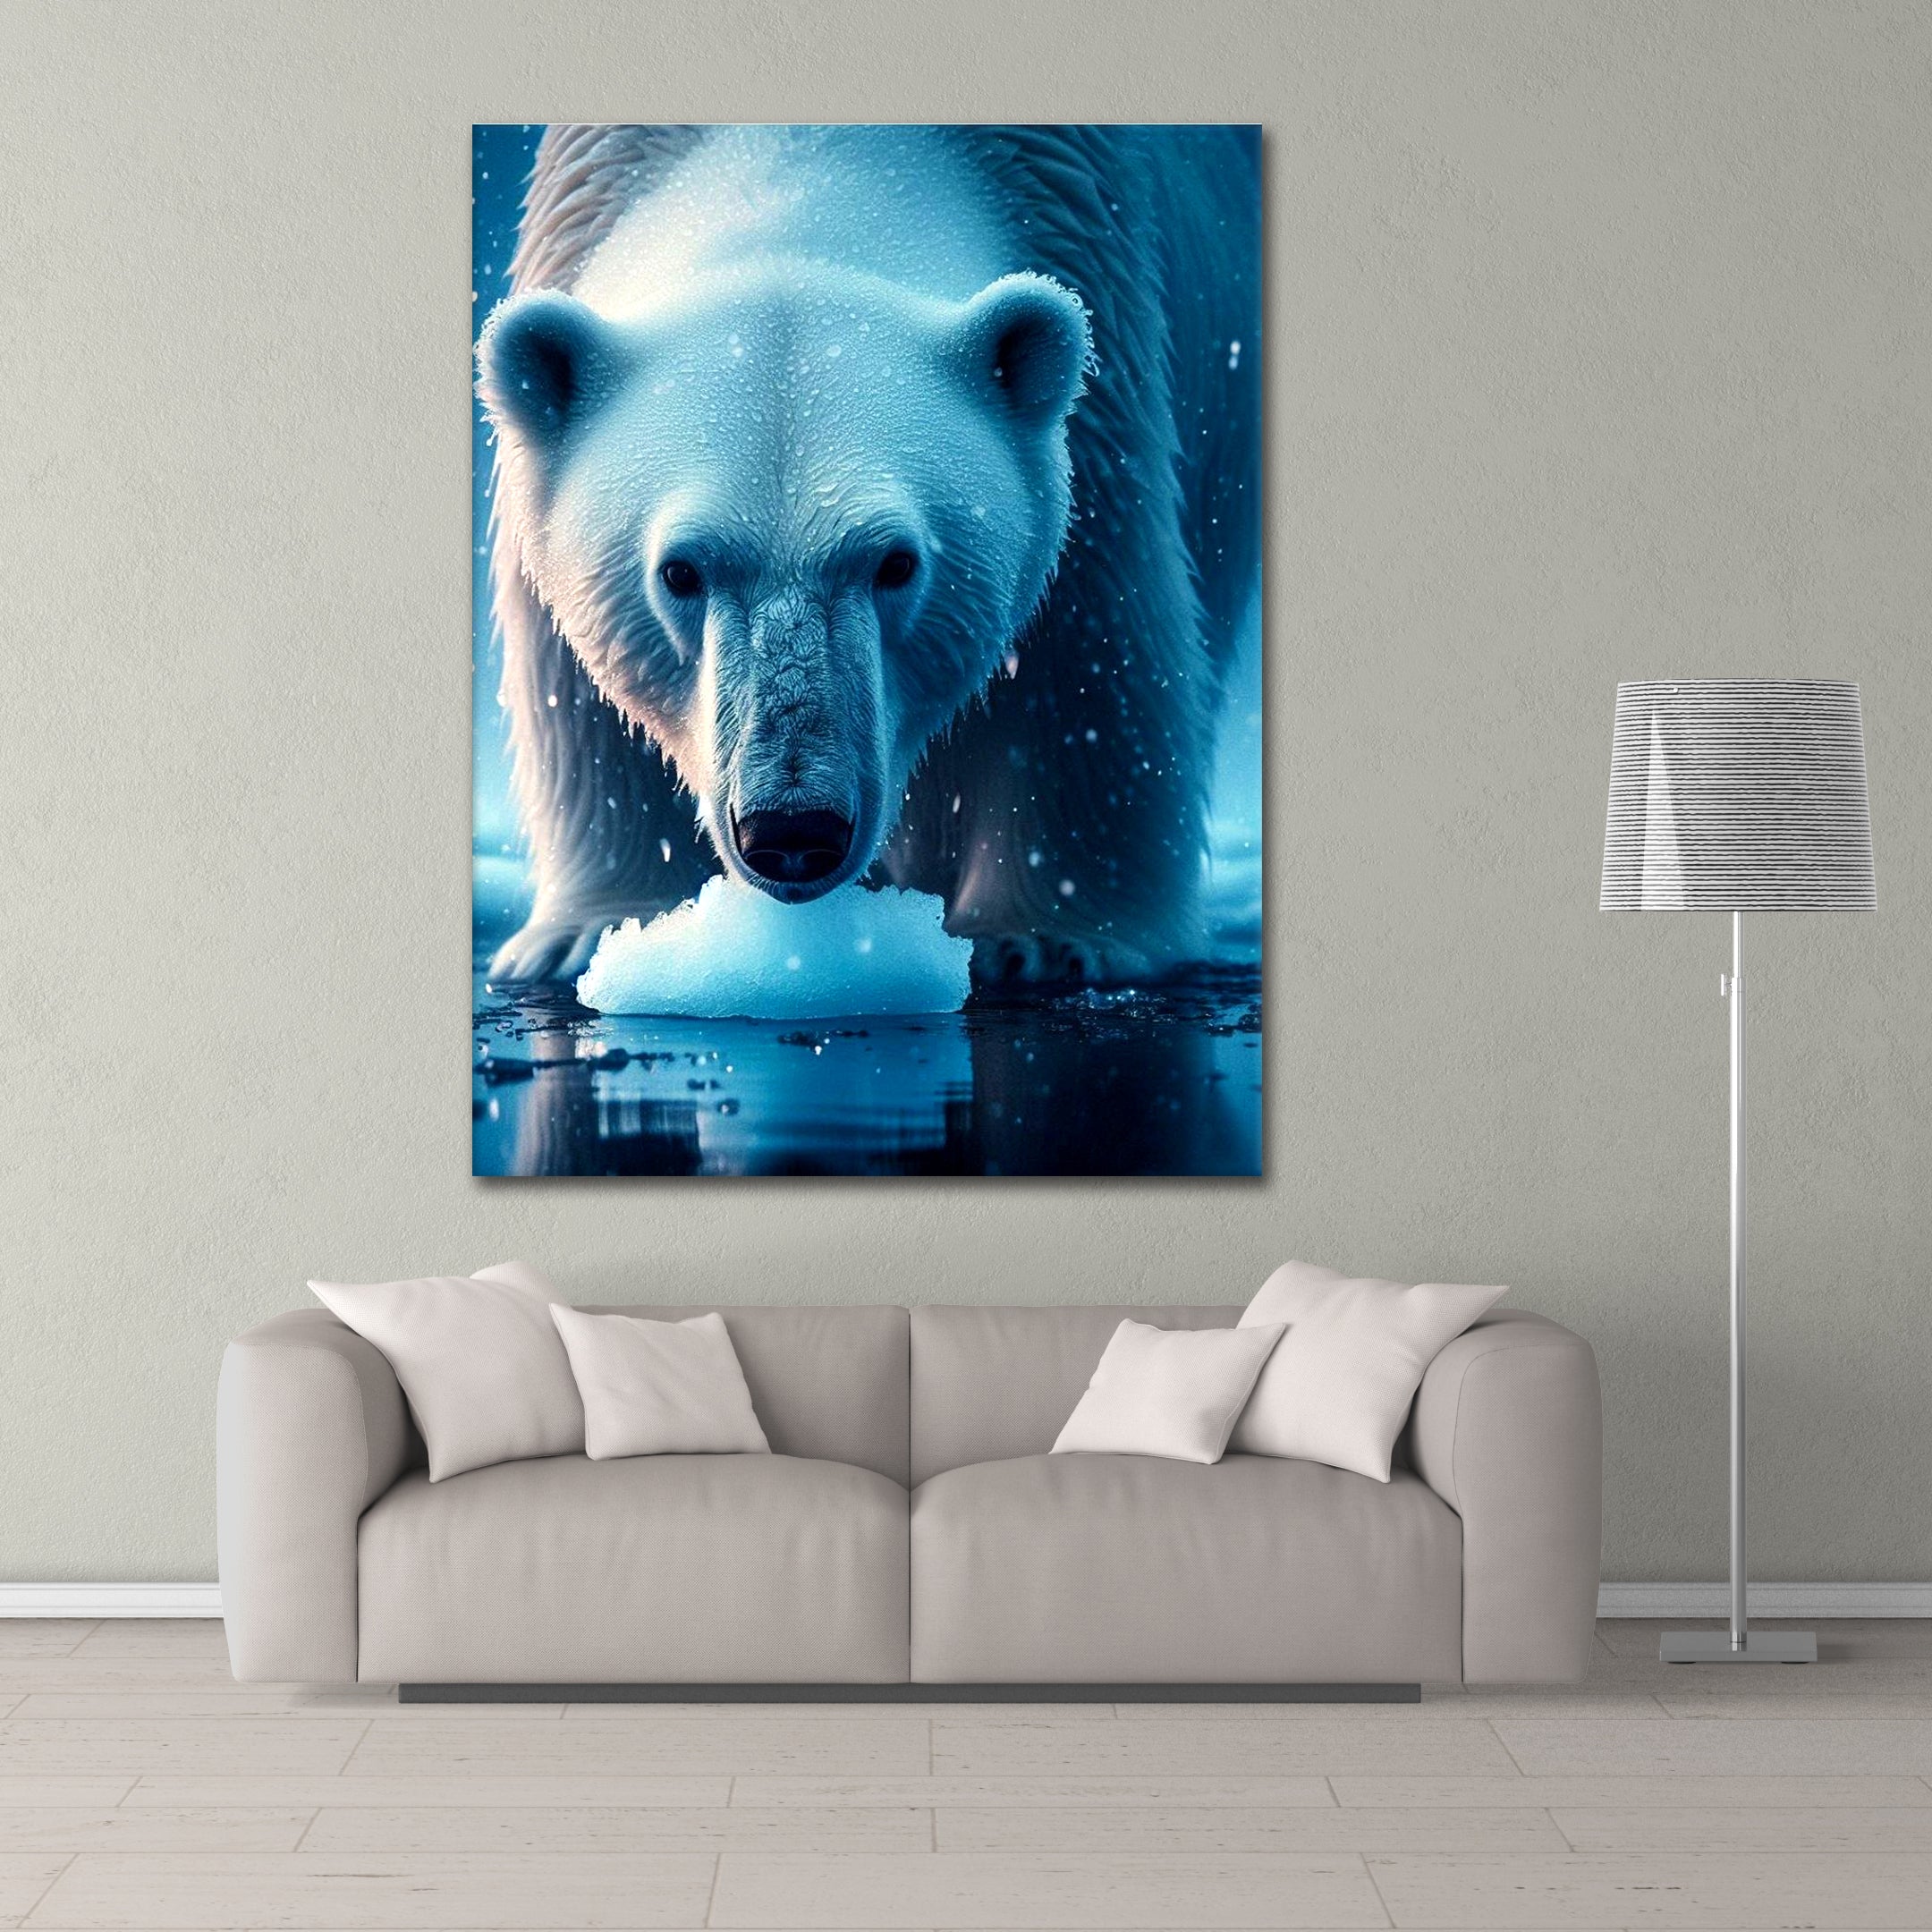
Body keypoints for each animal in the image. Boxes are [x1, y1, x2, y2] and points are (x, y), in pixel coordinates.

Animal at [478, 123, 1259, 987]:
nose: (792, 831)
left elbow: (1080, 665)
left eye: (895, 563)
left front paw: (1046, 941)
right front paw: (593, 934)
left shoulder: (1103, 375)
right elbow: (579, 693)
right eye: (679, 571)